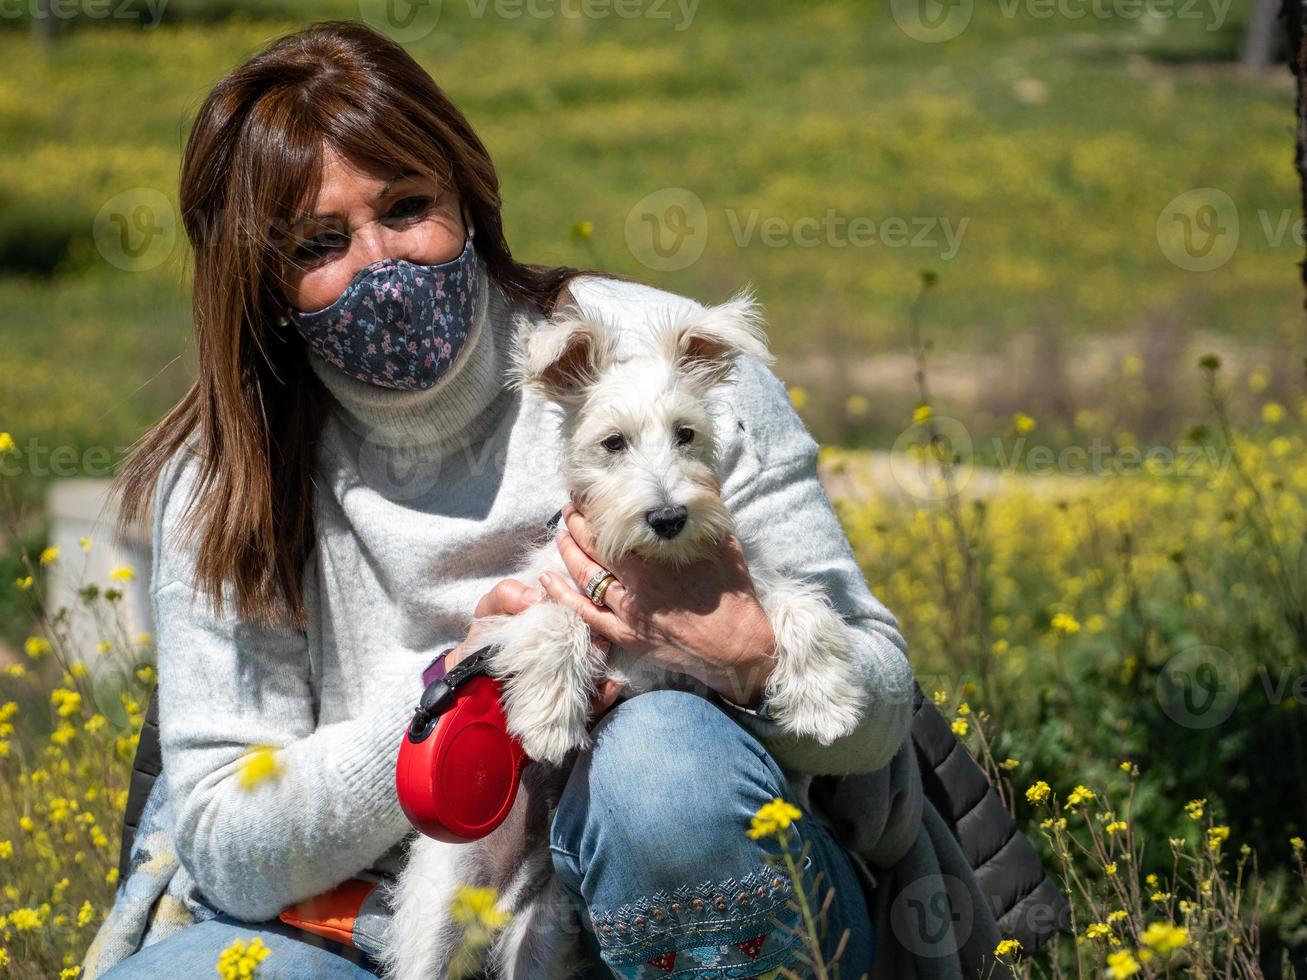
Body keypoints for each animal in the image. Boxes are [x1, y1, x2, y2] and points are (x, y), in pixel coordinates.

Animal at [376, 287, 867, 980]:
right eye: (612, 443)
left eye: (687, 434)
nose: (668, 517)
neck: (650, 564)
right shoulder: (527, 600)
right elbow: (555, 621)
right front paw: (550, 717)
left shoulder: (742, 588)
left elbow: (800, 606)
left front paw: (827, 701)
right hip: (443, 907)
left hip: (545, 934)